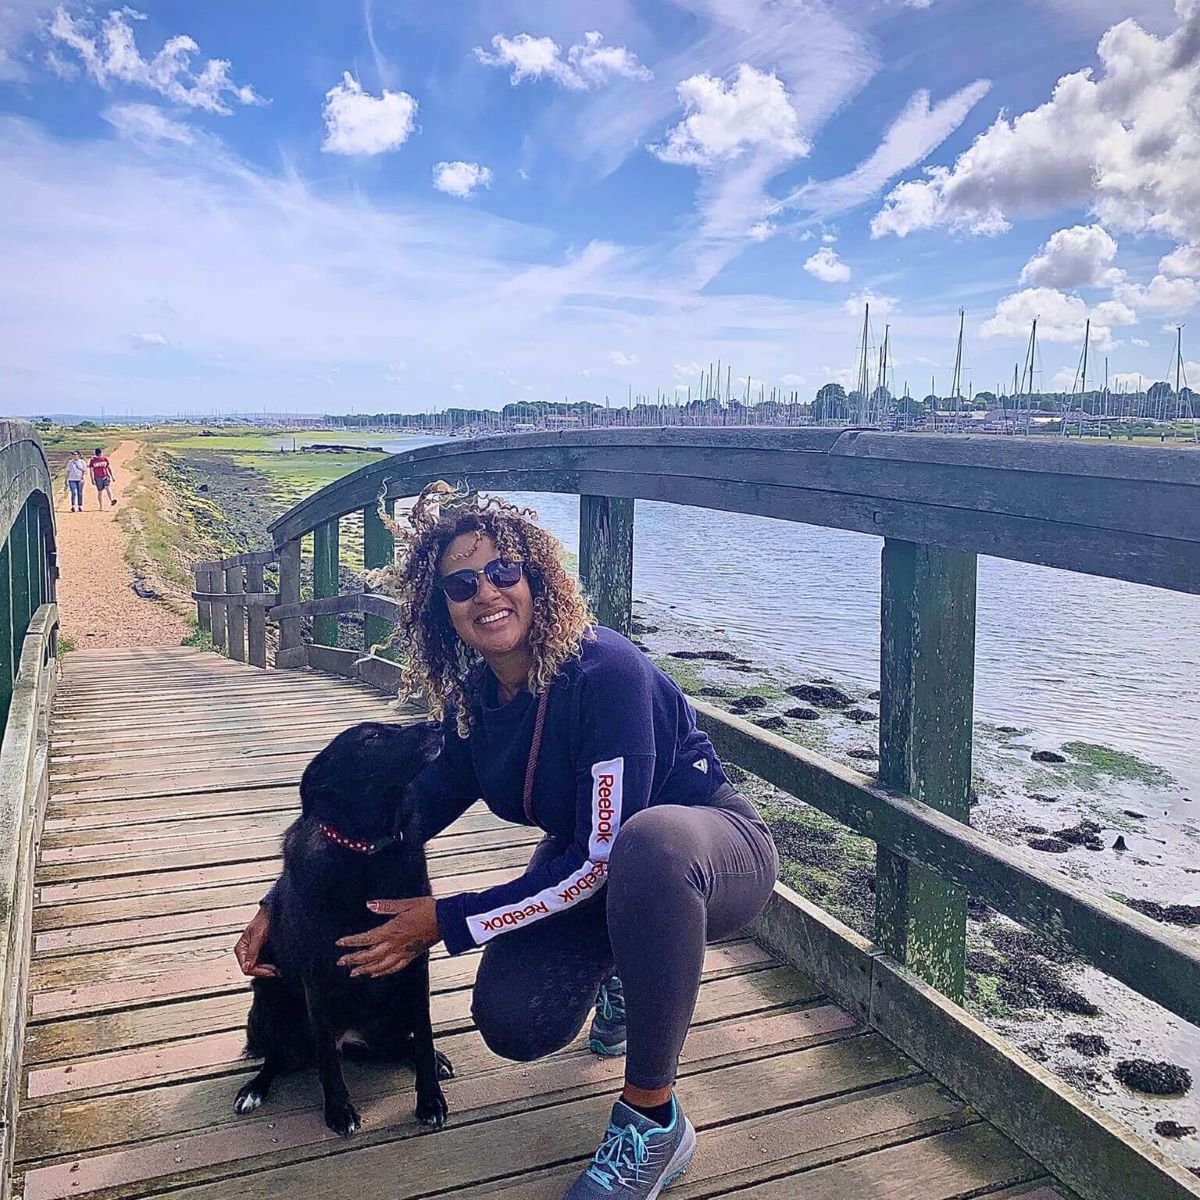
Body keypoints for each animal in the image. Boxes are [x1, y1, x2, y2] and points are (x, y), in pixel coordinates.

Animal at [231, 720, 451, 1132]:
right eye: (371, 738)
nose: (436, 724)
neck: (369, 852)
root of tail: (351, 1039)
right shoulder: (317, 978)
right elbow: (328, 1065)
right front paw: (338, 1110)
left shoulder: (415, 965)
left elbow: (425, 1034)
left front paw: (430, 1098)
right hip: (272, 1015)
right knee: (281, 1060)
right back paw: (253, 1089)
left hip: (393, 1014)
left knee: (403, 1043)